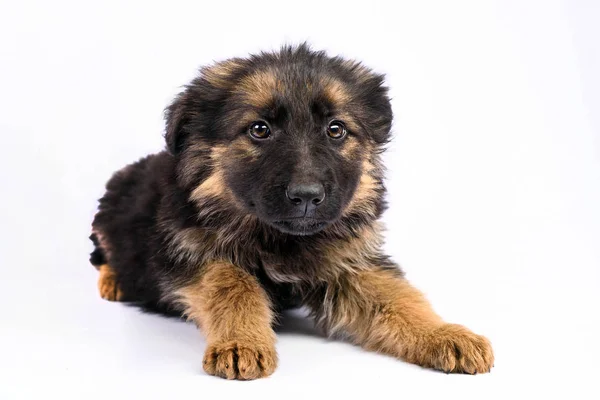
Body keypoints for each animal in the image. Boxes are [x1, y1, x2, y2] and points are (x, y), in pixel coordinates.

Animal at [89, 43, 492, 378]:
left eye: (335, 129)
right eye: (259, 129)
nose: (307, 196)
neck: (279, 238)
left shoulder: (351, 262)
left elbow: (397, 297)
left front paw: (444, 334)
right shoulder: (193, 253)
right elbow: (233, 284)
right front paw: (241, 342)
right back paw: (113, 281)